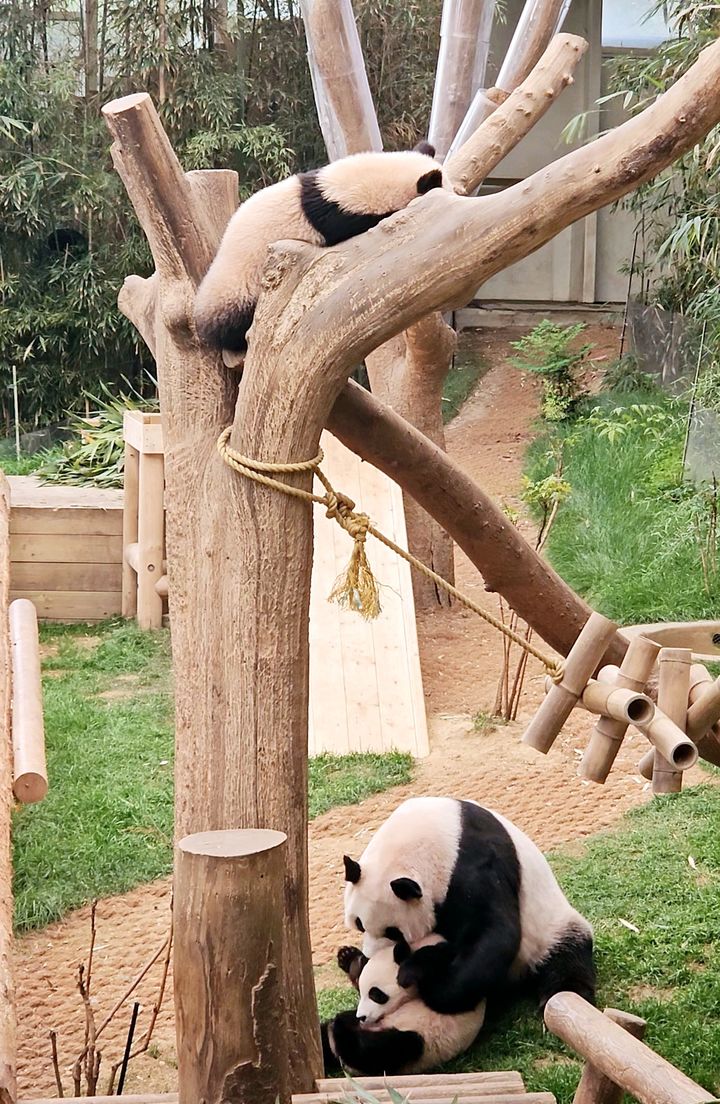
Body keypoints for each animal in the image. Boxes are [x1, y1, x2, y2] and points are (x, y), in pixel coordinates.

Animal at [342, 794, 596, 1015]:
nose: (371, 958)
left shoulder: (474, 866)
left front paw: (432, 986)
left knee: (566, 959)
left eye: (393, 932)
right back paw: (351, 961)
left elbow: (494, 933)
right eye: (359, 925)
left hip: (550, 931)